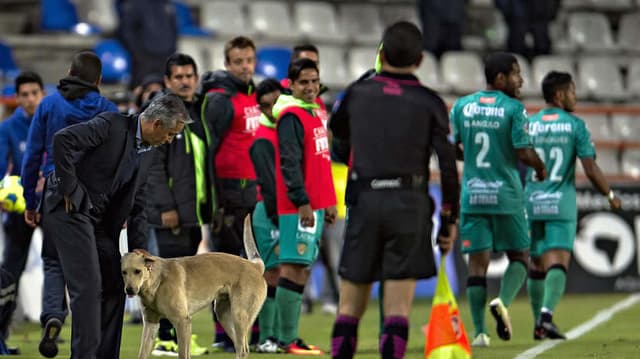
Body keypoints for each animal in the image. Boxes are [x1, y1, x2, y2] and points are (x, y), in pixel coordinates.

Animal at [121, 217, 266, 359]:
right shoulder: (151, 323)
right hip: (223, 315)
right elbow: (142, 354)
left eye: (137, 271)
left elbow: (182, 354)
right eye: (124, 272)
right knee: (239, 347)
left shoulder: (182, 322)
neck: (156, 282)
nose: (129, 290)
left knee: (243, 349)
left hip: (239, 315)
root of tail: (255, 266)